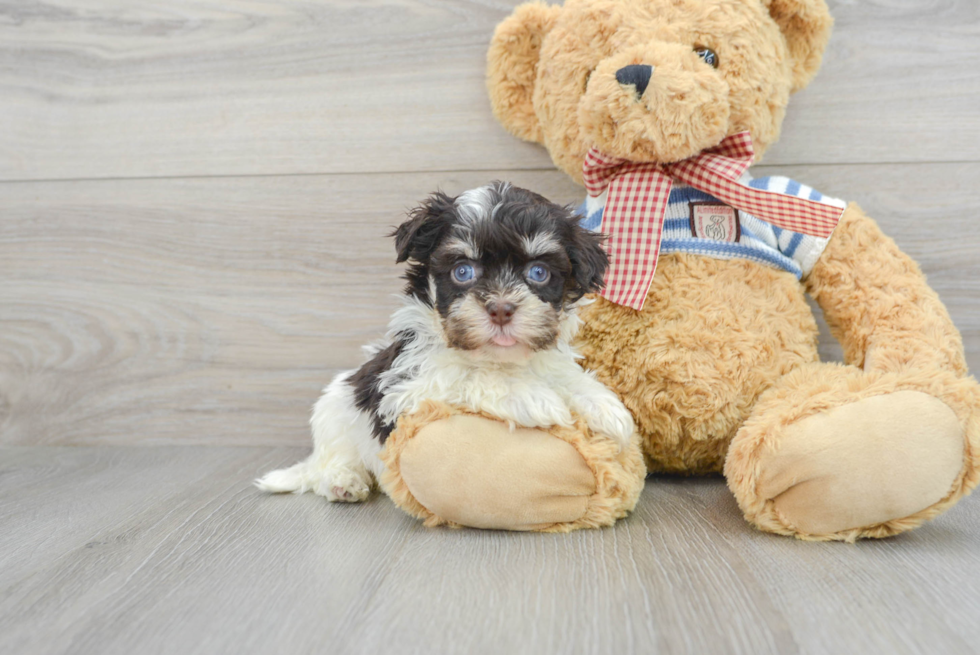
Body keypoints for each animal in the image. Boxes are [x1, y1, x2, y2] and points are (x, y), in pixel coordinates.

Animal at [253, 183, 636, 502]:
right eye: (462, 271)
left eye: (538, 273)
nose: (500, 309)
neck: (499, 359)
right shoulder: (405, 390)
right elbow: (467, 376)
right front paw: (534, 397)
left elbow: (565, 376)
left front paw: (607, 408)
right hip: (335, 410)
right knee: (330, 461)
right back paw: (343, 481)